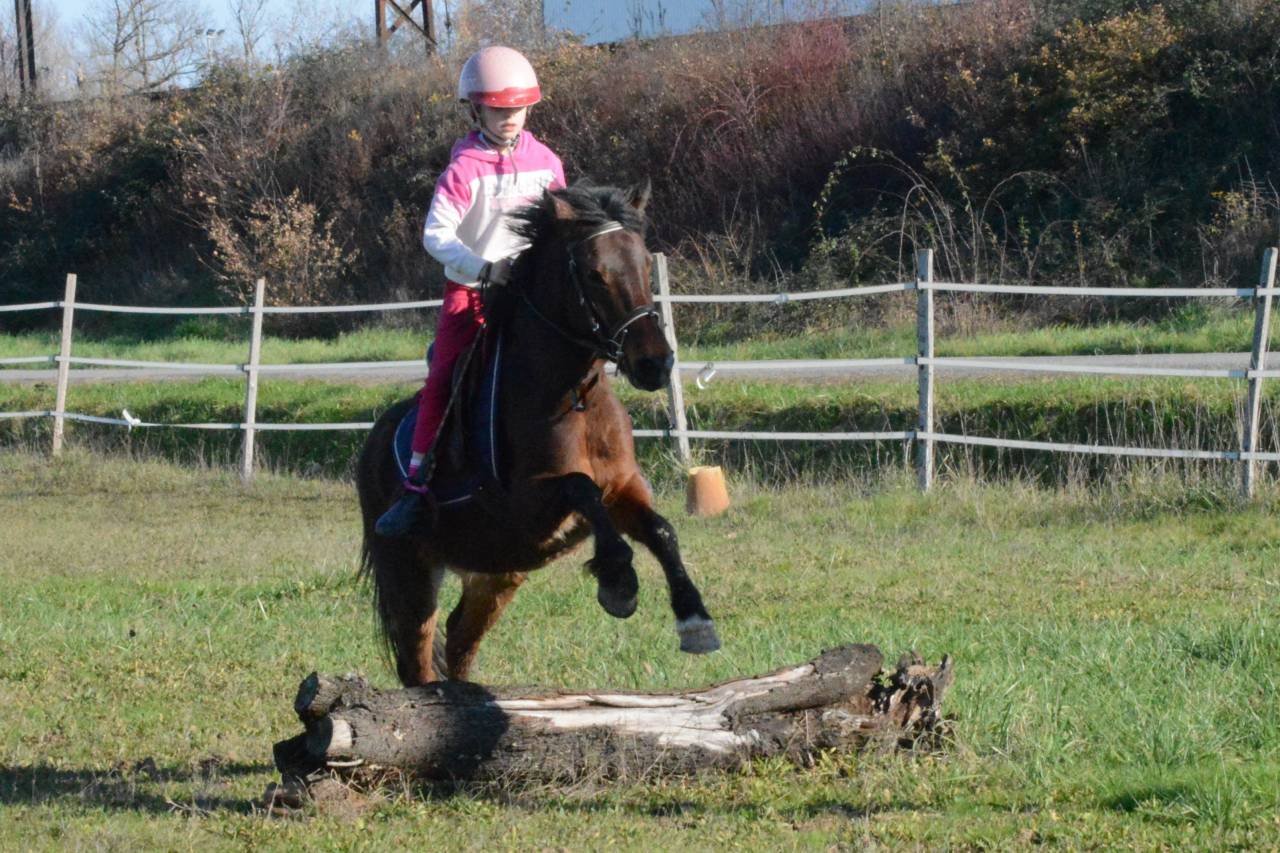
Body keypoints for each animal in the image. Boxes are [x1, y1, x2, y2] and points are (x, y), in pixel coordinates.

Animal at [356, 183, 720, 686]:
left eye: (647, 264)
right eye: (593, 274)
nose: (654, 363)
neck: (575, 397)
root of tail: (371, 445)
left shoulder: (623, 489)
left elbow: (661, 530)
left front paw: (695, 619)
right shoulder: (526, 510)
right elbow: (580, 487)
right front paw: (618, 581)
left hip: (498, 573)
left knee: (460, 637)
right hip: (408, 574)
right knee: (418, 662)